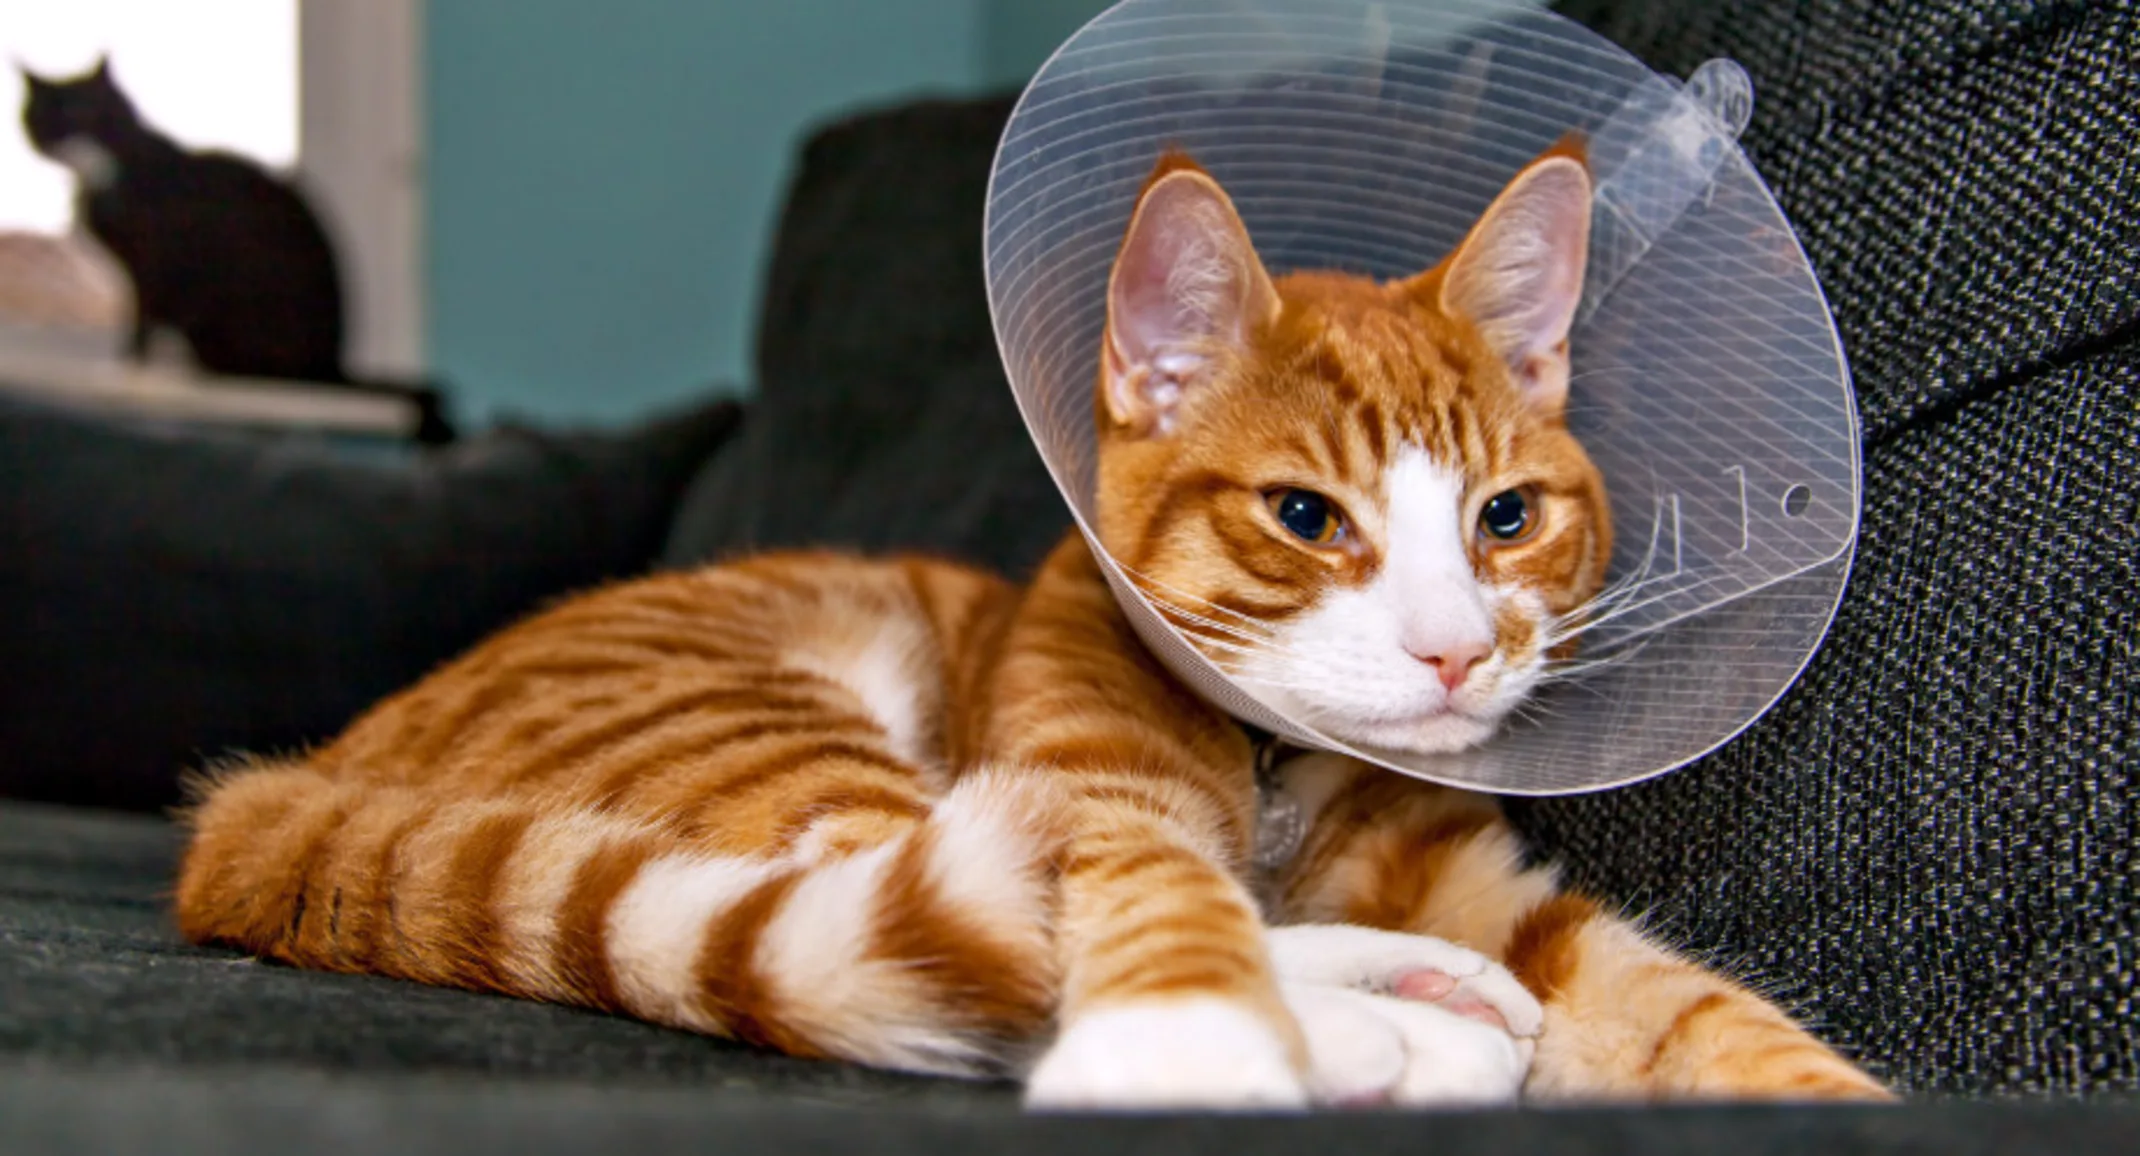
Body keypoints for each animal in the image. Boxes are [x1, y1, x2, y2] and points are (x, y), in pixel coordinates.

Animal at [184, 140, 1891, 1104]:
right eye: (1306, 520)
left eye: (1507, 520)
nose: (1457, 651)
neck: (1280, 779)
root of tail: (288, 790)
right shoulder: (1082, 789)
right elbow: (1152, 908)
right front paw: (1199, 1051)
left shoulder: (1492, 889)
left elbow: (1681, 1007)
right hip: (767, 723)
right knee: (899, 935)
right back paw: (1397, 1034)